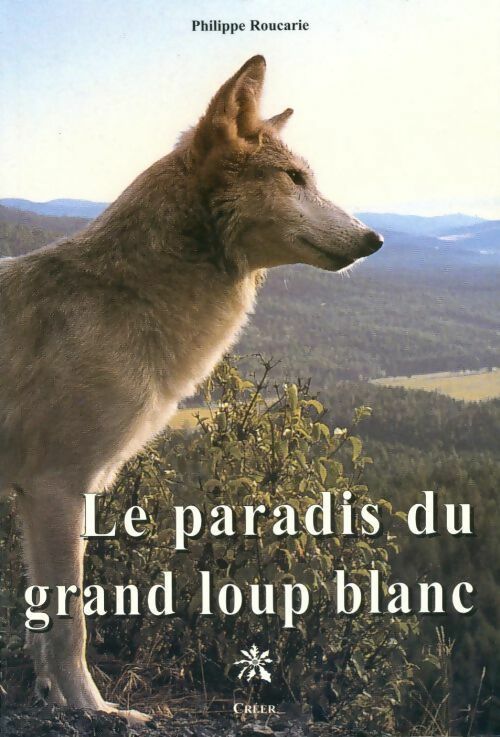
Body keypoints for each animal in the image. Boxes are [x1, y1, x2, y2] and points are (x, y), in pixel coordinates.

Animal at [0, 56, 382, 723]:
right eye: (294, 178)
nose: (374, 238)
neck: (128, 300)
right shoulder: (56, 490)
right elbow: (72, 625)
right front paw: (98, 711)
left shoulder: (36, 496)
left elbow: (41, 627)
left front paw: (57, 701)